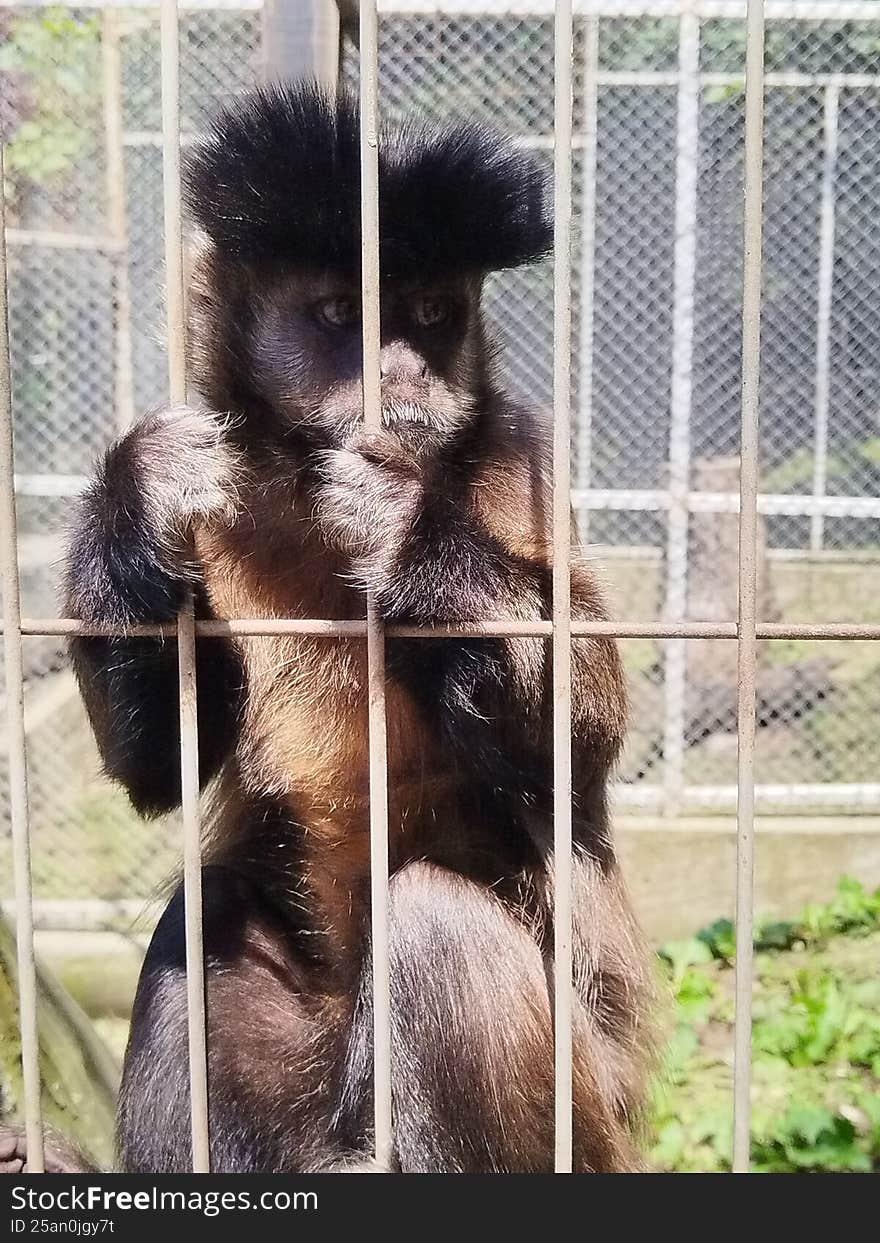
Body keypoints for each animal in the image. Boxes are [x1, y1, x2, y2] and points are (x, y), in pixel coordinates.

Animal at [1, 83, 653, 1174]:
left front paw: (404, 529)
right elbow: (155, 772)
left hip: (586, 1119)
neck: (309, 479)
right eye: (345, 315)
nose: (406, 378)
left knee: (435, 929)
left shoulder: (517, 452)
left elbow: (578, 745)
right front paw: (136, 494)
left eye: (430, 314)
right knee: (208, 912)